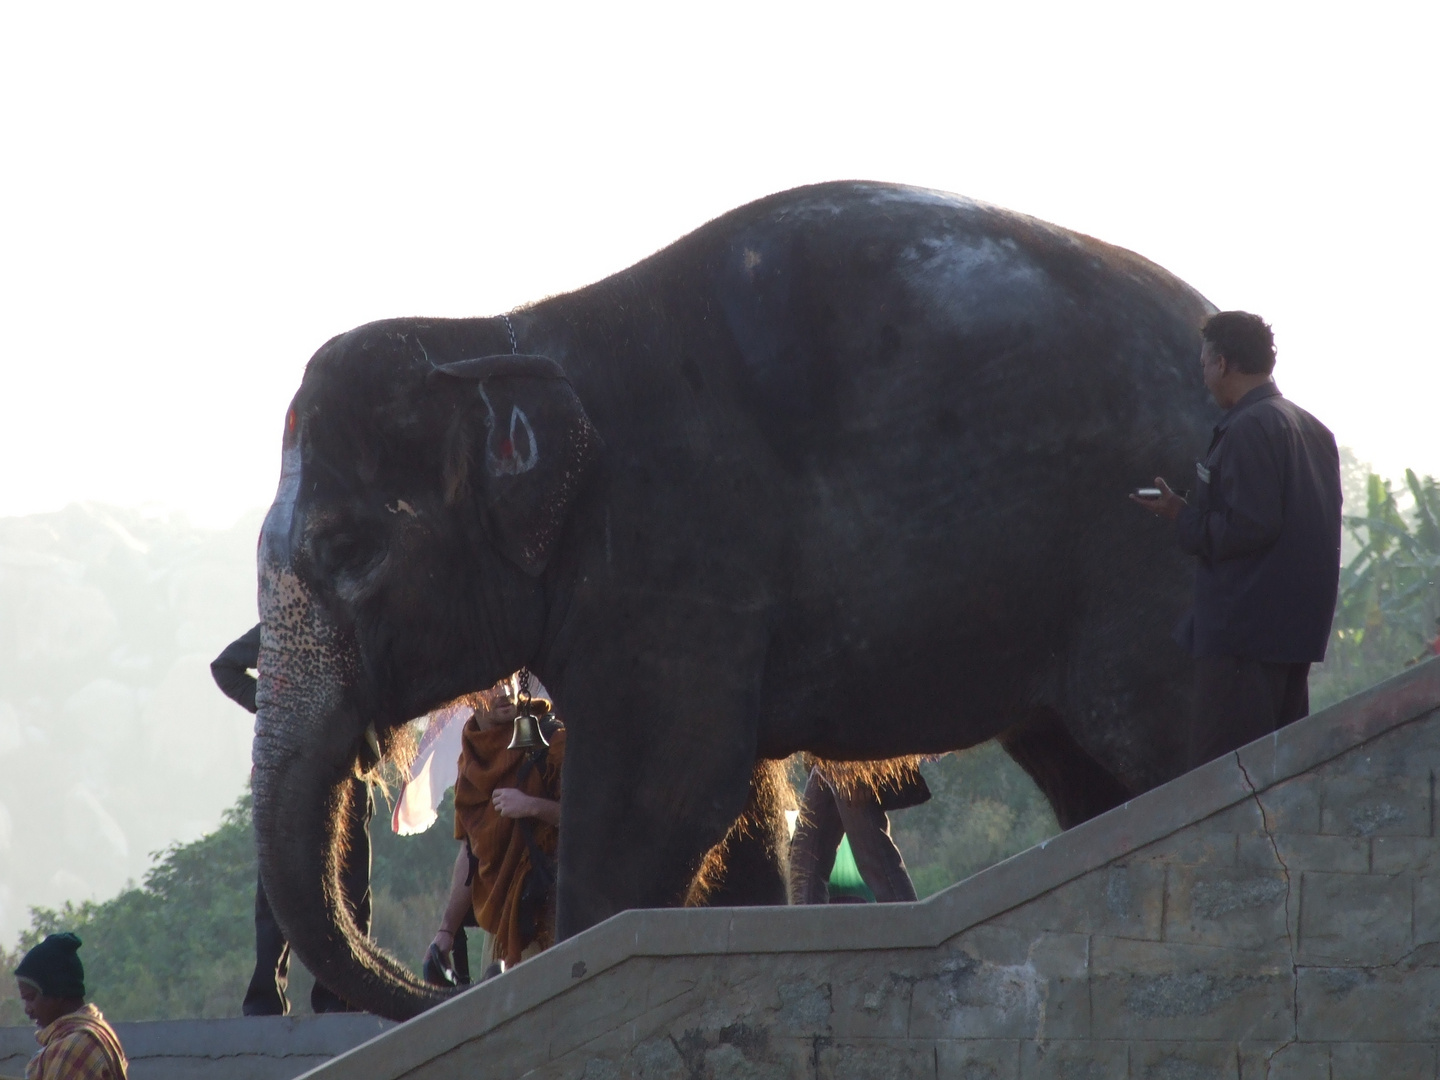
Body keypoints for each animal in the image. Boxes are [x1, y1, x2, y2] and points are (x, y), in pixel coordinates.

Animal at [256, 182, 1215, 1019]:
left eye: (346, 550)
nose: (445, 978)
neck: (503, 333)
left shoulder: (675, 547)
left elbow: (663, 795)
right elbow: (731, 808)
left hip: (1147, 553)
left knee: (1162, 730)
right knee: (1079, 766)